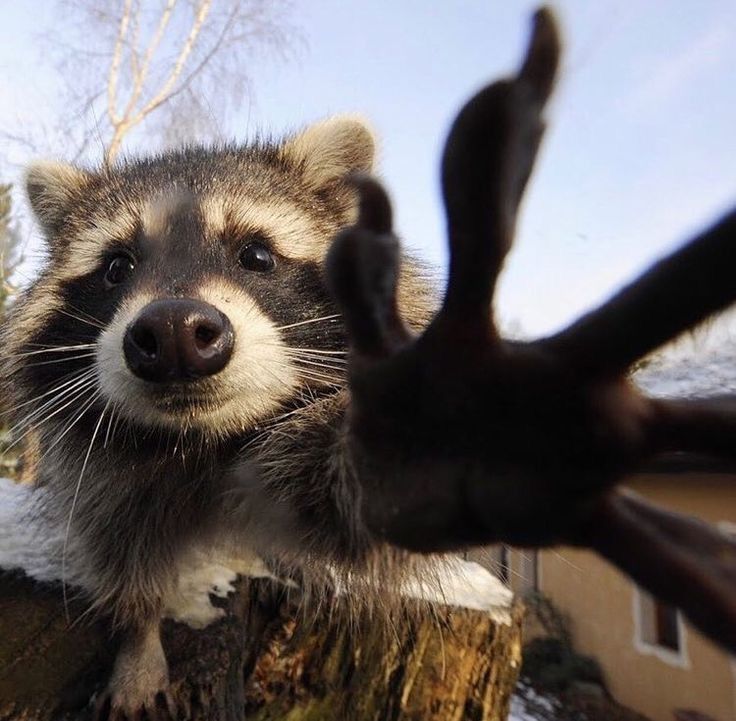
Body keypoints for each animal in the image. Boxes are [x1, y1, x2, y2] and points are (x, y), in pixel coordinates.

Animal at [1, 118, 436, 716]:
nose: (174, 333)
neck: (203, 438)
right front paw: (139, 638)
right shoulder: (100, 477)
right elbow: (119, 546)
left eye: (256, 256)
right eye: (117, 267)